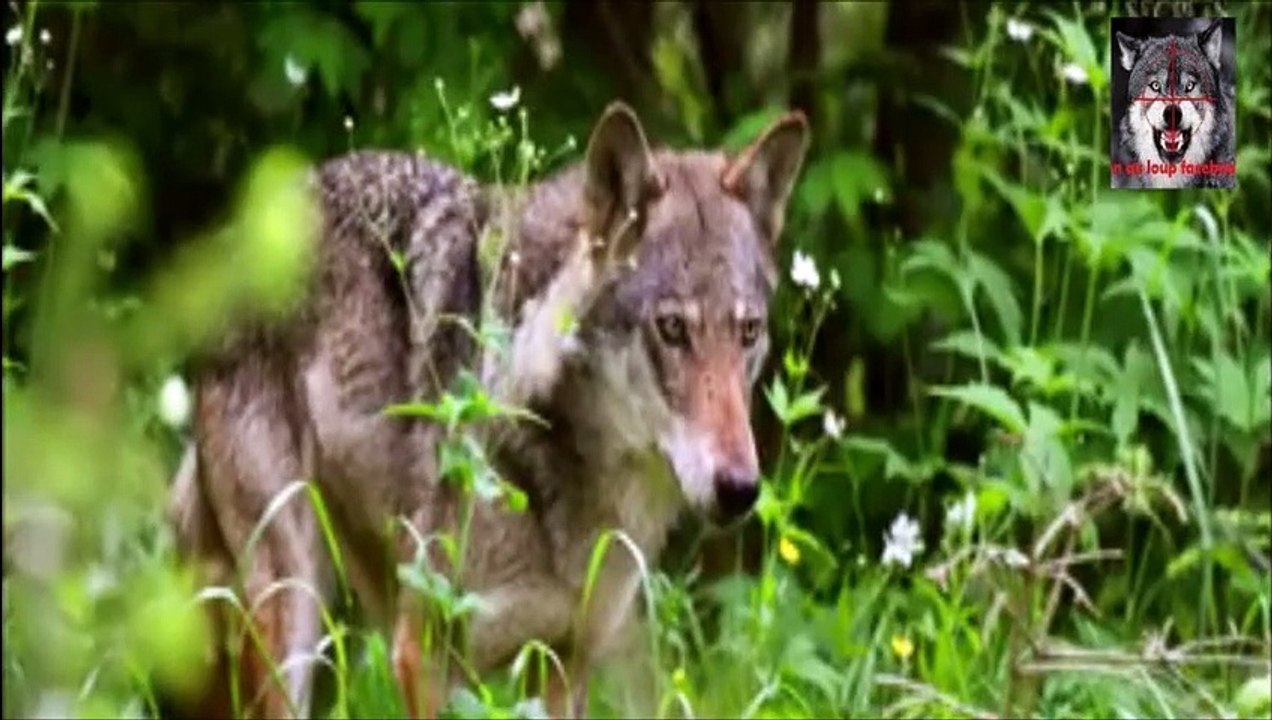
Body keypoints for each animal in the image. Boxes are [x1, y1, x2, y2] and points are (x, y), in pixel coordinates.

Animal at [164, 101, 809, 719]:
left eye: (748, 331)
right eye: (672, 329)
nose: (739, 488)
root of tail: (242, 240)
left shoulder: (564, 664)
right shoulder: (423, 656)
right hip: (293, 611)